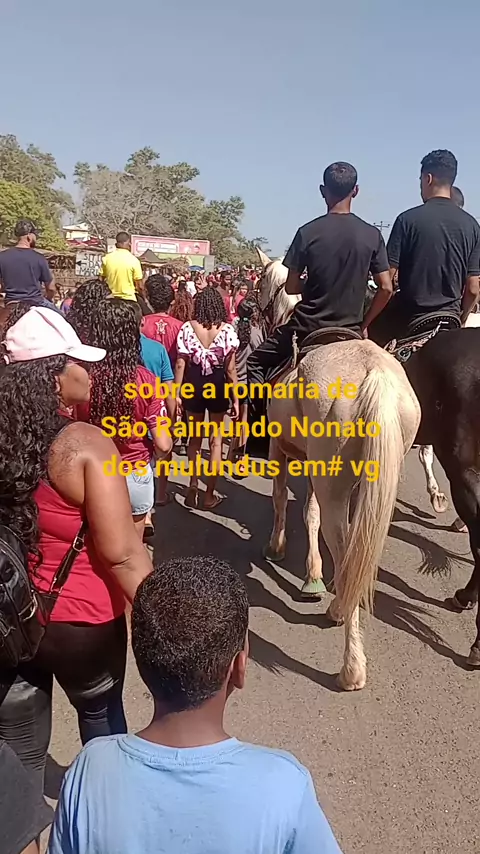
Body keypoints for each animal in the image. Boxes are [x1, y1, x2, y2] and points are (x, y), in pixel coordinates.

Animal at [256, 252, 421, 690]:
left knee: (347, 552)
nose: (254, 310)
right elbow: (308, 511)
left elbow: (281, 499)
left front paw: (277, 546)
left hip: (333, 482)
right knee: (359, 547)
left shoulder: (280, 448)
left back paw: (350, 661)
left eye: (260, 282)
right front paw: (311, 573)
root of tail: (374, 371)